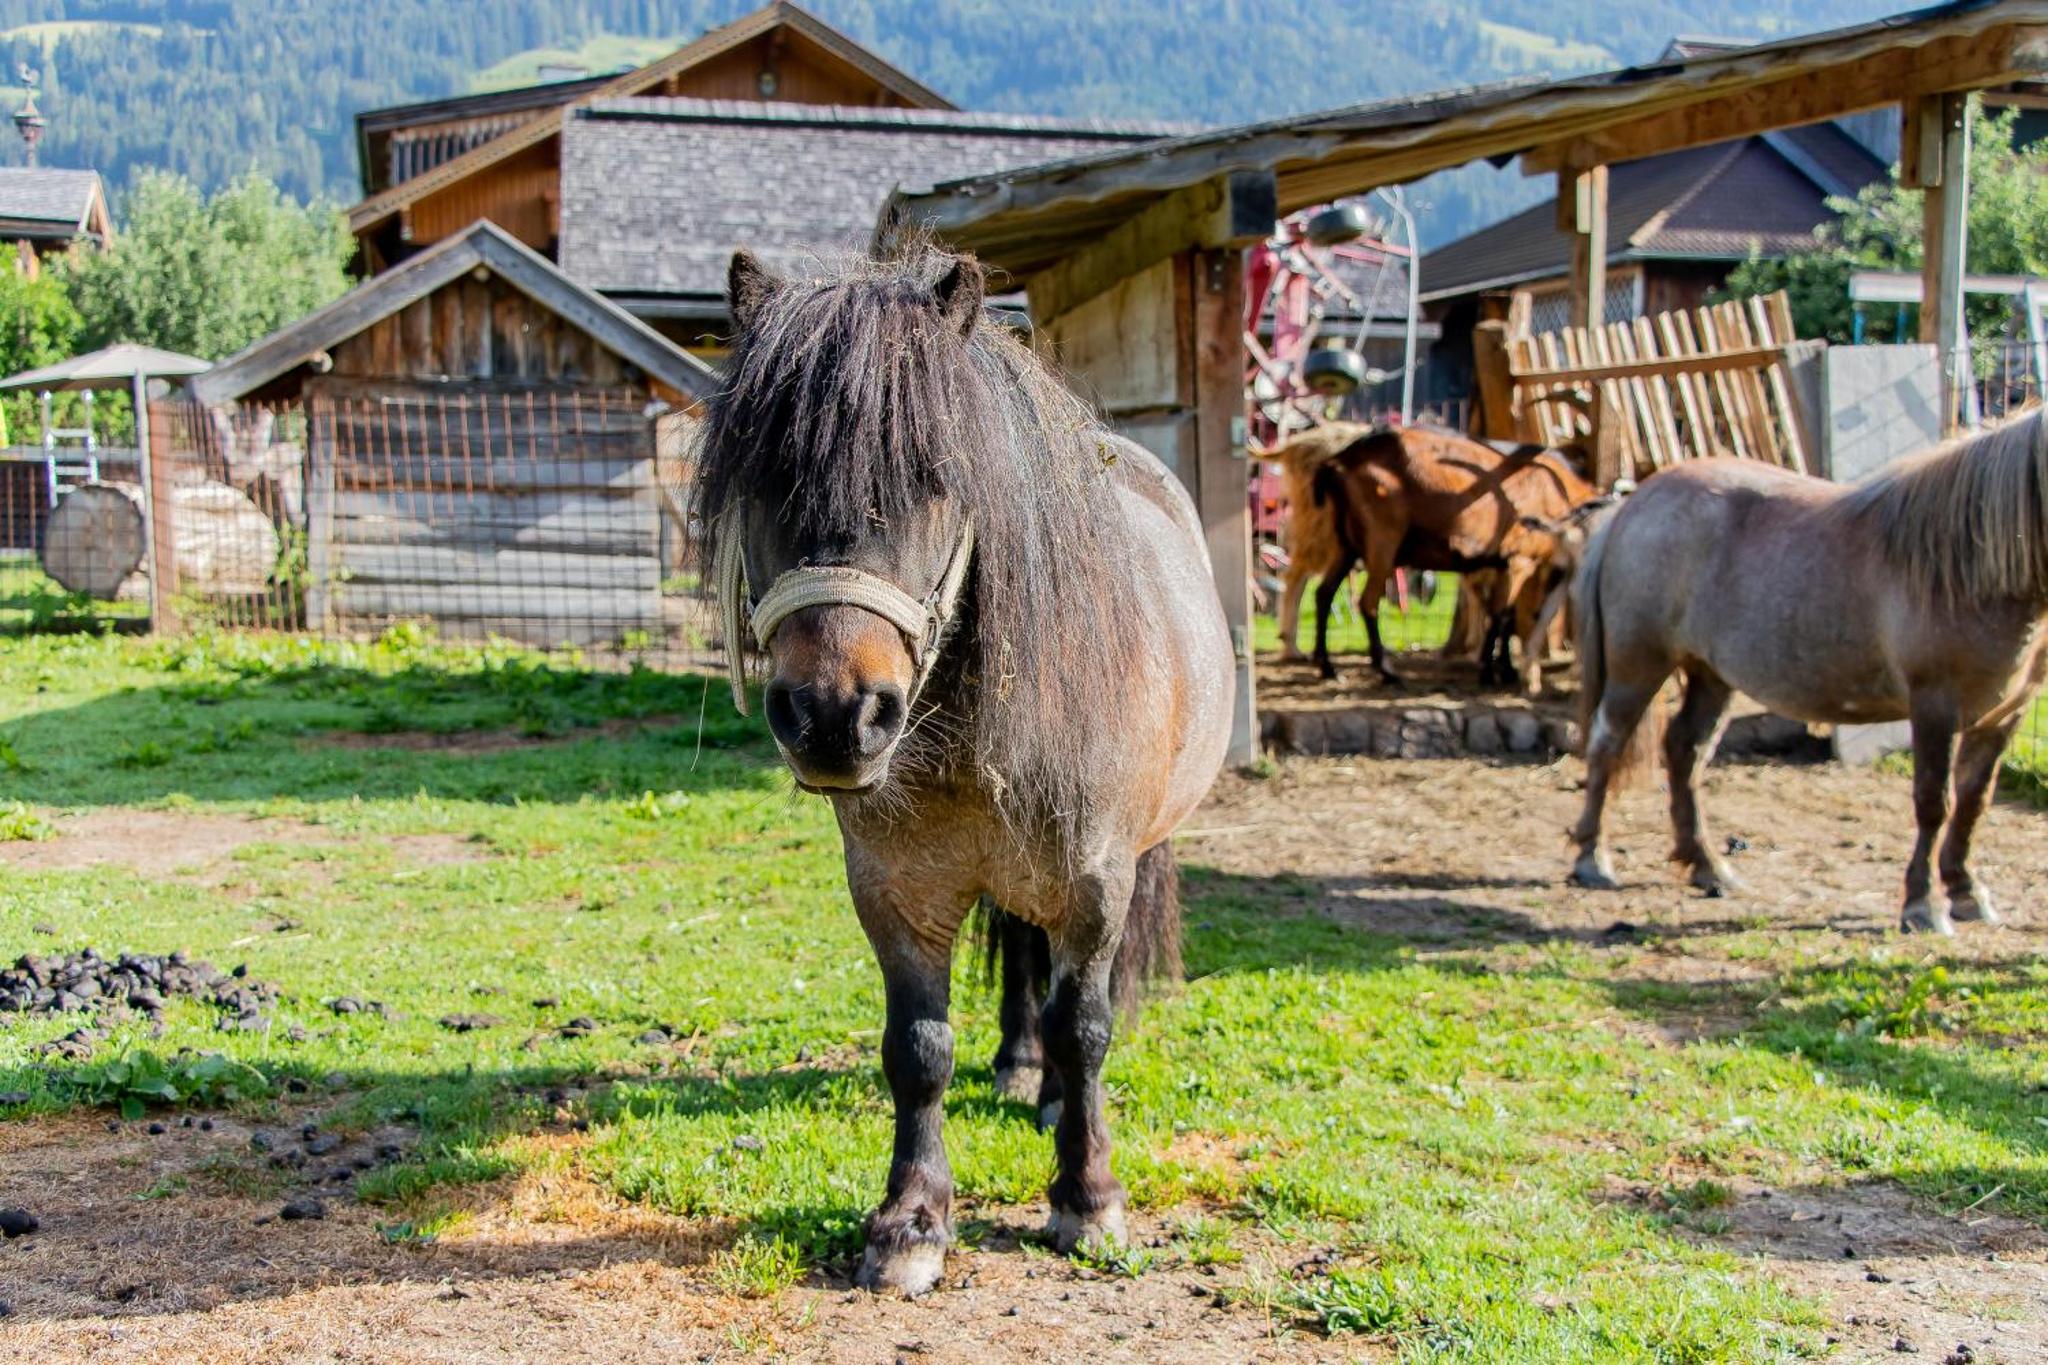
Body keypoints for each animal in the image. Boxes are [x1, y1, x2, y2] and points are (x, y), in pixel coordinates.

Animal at [696, 248, 1228, 1301]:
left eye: (932, 478)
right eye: (765, 475)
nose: (834, 716)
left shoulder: (1097, 883)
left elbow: (1087, 1026)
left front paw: (1087, 1196)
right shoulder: (896, 890)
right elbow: (919, 1049)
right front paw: (911, 1222)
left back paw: (1052, 1096)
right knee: (1023, 957)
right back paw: (1020, 1068)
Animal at [1310, 423, 1597, 687]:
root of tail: (1340, 461)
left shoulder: (1502, 563)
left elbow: (1501, 615)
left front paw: (1505, 669)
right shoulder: (1519, 559)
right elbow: (1503, 615)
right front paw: (1491, 672)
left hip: (1347, 543)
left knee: (1324, 593)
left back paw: (1328, 668)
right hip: (1382, 539)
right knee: (1368, 602)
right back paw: (1386, 671)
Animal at [1572, 411, 2048, 933]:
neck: (1966, 566)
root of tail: (1634, 502)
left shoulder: (2003, 716)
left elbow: (1973, 802)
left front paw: (1966, 892)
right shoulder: (1933, 708)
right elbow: (1933, 803)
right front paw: (1923, 906)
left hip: (1712, 674)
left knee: (1684, 751)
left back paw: (1708, 866)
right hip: (1638, 665)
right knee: (1607, 743)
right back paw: (1592, 860)